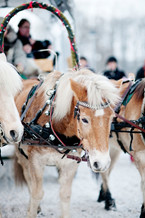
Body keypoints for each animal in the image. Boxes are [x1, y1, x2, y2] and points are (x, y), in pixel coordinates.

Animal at [14, 69, 120, 218]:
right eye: (84, 119)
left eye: (111, 118)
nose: (102, 163)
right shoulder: (36, 160)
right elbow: (37, 194)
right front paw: (33, 210)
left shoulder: (70, 164)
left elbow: (65, 195)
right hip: (21, 154)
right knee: (29, 179)